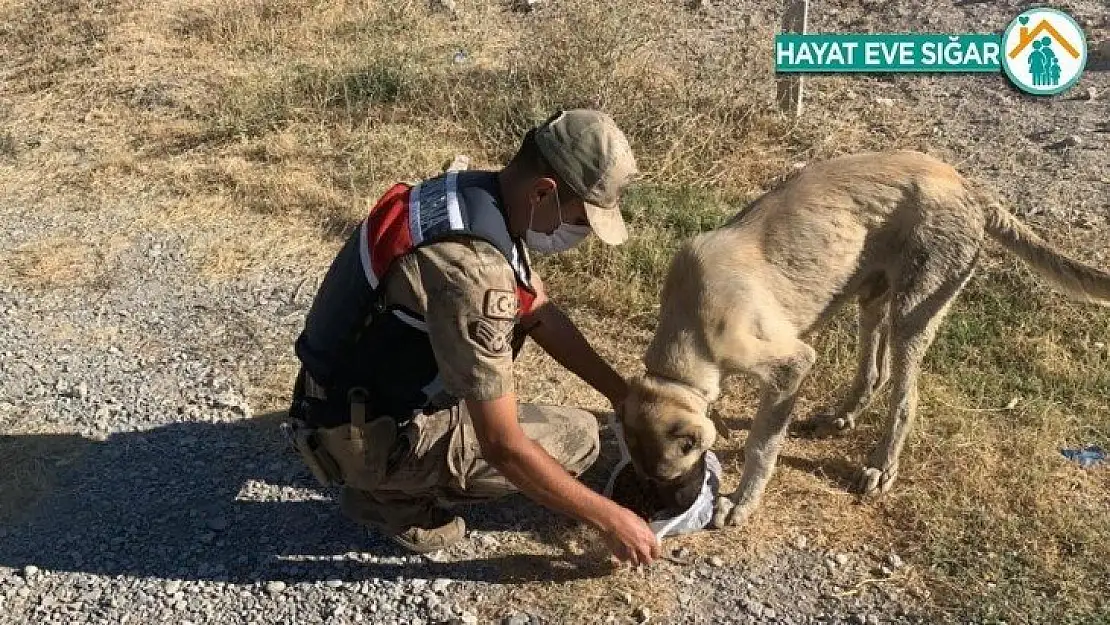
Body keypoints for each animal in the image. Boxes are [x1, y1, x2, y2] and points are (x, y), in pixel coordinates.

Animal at [626, 149, 1110, 528]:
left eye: (675, 475)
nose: (661, 510)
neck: (689, 332)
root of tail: (969, 188)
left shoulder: (791, 364)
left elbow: (762, 445)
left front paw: (743, 502)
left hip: (912, 312)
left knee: (905, 397)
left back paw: (881, 466)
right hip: (871, 295)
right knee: (874, 373)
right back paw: (842, 416)